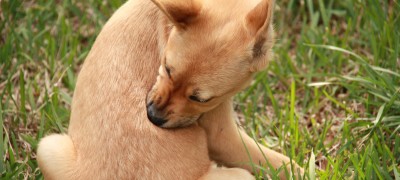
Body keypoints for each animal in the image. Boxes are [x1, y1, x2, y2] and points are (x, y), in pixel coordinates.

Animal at [37, 0, 304, 179]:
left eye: (200, 98)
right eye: (166, 67)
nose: (152, 117)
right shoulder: (221, 134)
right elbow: (275, 161)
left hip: (49, 148)